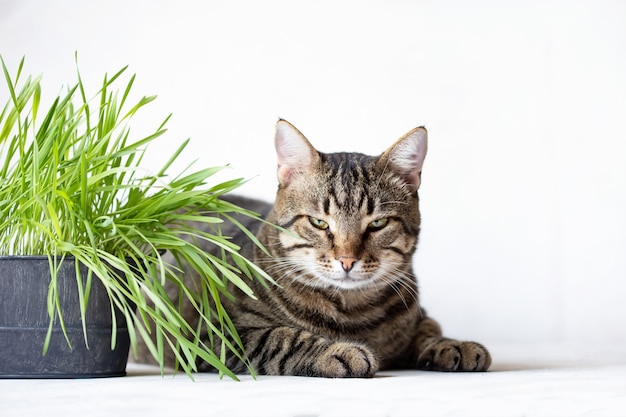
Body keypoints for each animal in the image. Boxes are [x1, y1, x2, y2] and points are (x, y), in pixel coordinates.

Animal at [135, 118, 488, 376]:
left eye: (377, 224)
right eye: (319, 222)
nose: (347, 260)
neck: (353, 312)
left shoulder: (419, 316)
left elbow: (428, 328)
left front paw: (453, 344)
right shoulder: (215, 335)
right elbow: (283, 337)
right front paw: (339, 350)